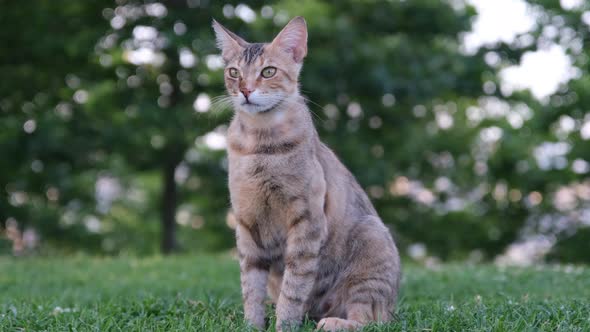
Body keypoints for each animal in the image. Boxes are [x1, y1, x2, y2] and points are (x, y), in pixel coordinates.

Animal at [213, 16, 402, 332]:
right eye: (233, 72)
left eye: (268, 71)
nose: (246, 90)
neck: (260, 143)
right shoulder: (247, 221)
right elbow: (250, 286)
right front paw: (252, 324)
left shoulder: (306, 220)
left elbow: (295, 284)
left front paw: (284, 324)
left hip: (371, 243)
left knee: (370, 320)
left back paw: (333, 322)